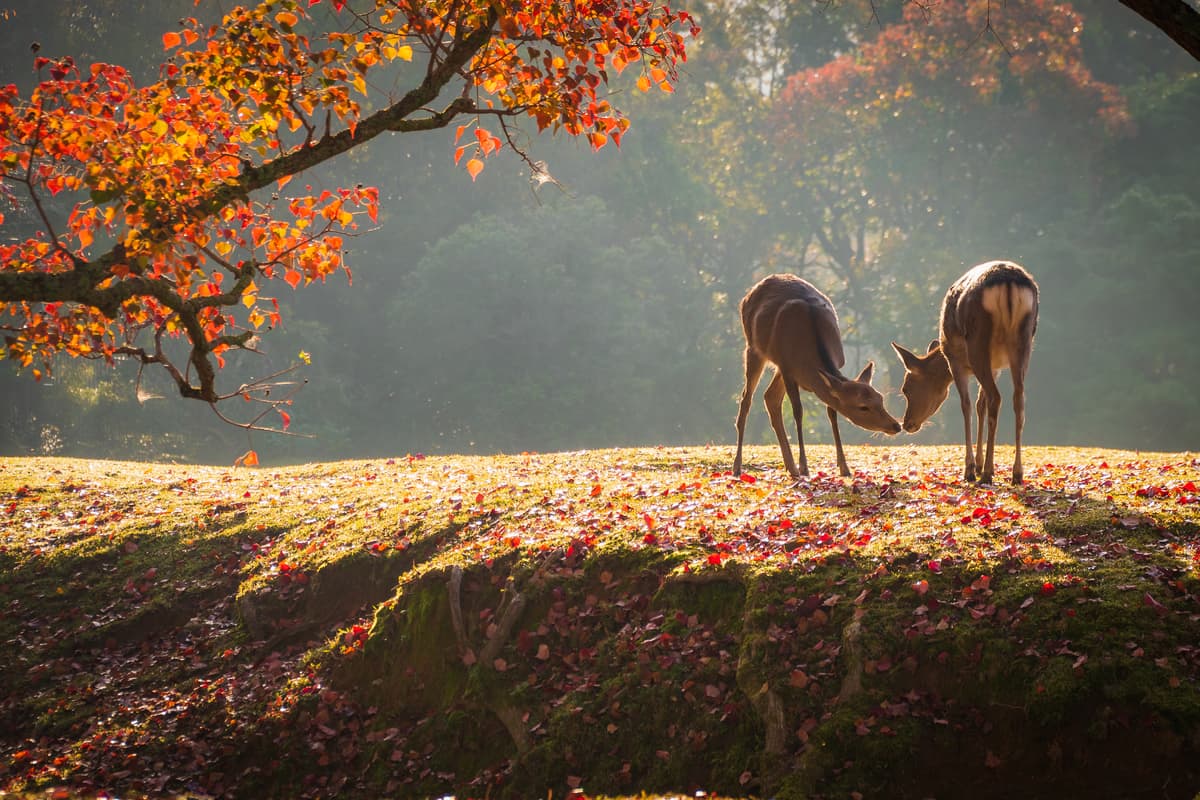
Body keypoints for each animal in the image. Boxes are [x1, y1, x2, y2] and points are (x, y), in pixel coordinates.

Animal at [729, 275, 902, 479]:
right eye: (863, 407)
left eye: (881, 399)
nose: (896, 425)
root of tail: (750, 293)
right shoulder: (788, 369)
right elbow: (798, 412)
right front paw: (805, 466)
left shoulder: (824, 371)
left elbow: (832, 413)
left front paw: (844, 467)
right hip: (754, 349)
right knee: (746, 399)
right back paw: (738, 466)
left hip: (777, 366)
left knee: (770, 397)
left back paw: (791, 467)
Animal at [892, 263, 1041, 489]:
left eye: (906, 388)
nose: (906, 424)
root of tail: (1008, 283)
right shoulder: (995, 366)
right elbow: (980, 405)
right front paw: (978, 464)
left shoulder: (955, 361)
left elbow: (967, 405)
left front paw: (971, 469)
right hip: (1024, 341)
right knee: (1017, 398)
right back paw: (1016, 473)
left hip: (977, 340)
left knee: (996, 397)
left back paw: (986, 474)